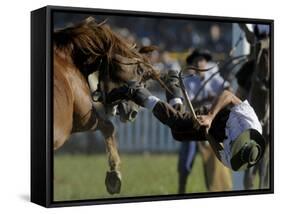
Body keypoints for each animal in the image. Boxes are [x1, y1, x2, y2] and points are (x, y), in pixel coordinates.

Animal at [52, 16, 158, 194]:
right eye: (139, 71)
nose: (133, 112)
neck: (67, 57)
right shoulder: (82, 120)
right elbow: (109, 126)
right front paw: (114, 175)